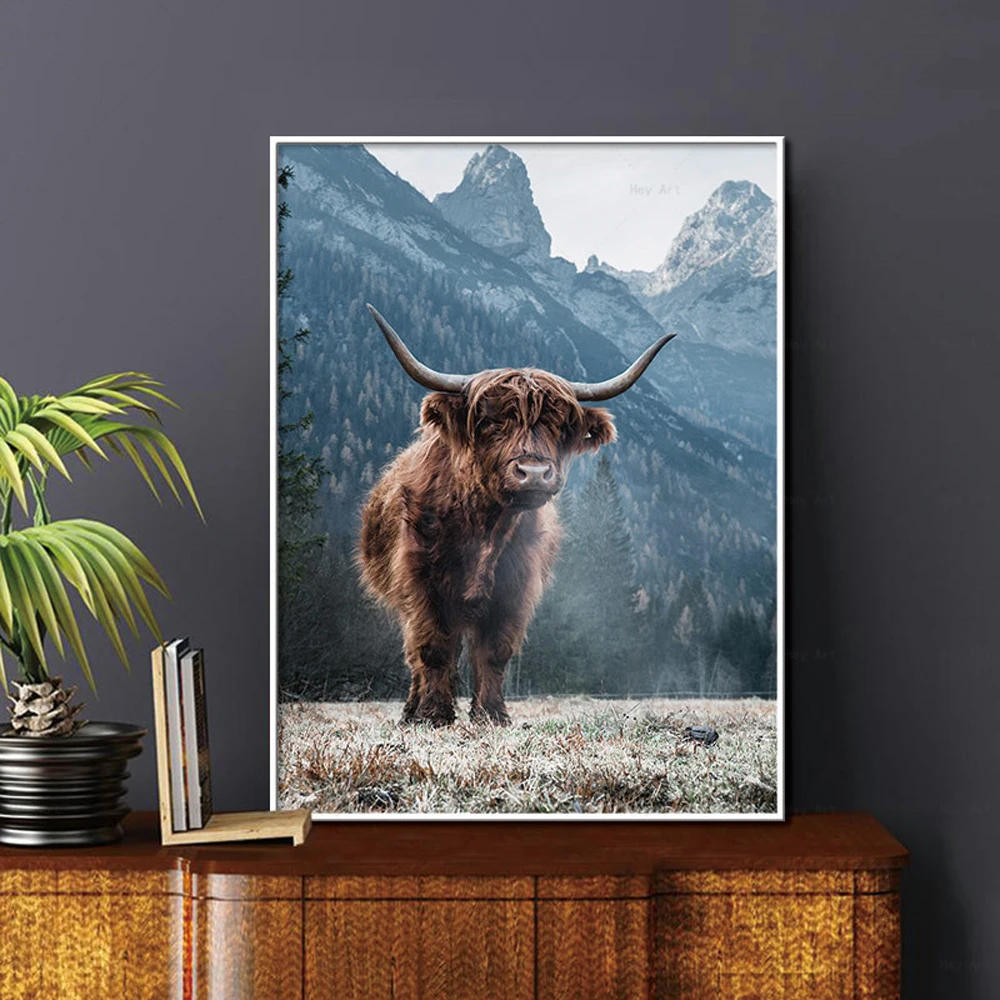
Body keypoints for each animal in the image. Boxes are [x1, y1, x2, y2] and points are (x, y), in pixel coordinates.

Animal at [358, 304, 674, 726]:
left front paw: (492, 714)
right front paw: (434, 714)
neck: (484, 527)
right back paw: (411, 711)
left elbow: (495, 652)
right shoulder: (421, 584)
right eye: (490, 422)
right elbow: (432, 647)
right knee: (416, 655)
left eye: (559, 426)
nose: (534, 473)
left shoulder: (515, 588)